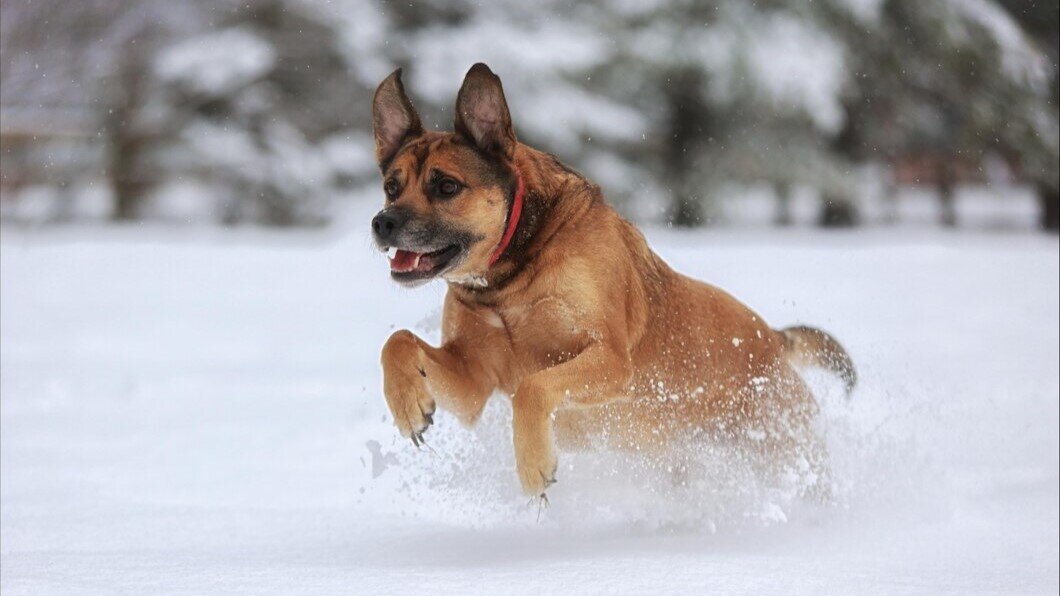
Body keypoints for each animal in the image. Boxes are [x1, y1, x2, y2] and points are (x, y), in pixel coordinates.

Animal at [370, 62, 852, 496]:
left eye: (446, 186)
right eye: (392, 186)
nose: (382, 223)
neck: (510, 278)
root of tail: (772, 339)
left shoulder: (611, 358)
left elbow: (534, 386)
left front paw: (533, 465)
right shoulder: (475, 380)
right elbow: (397, 342)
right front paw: (408, 405)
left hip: (779, 442)